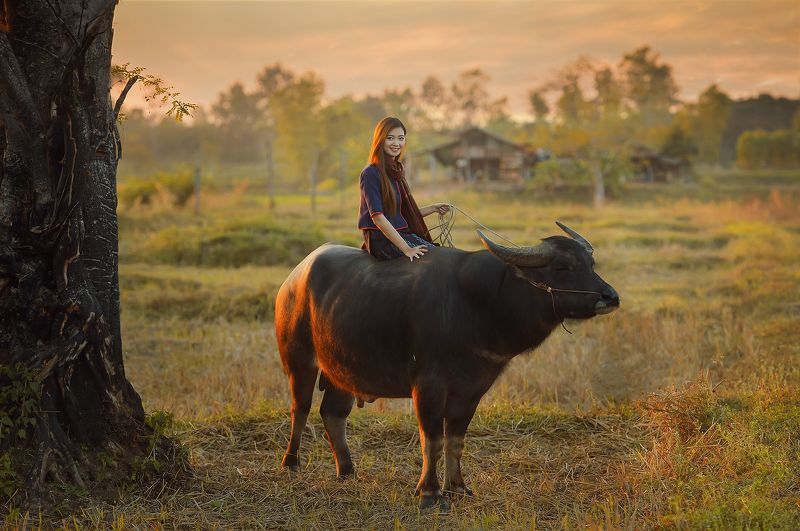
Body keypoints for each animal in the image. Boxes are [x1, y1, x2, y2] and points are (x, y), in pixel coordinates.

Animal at [276, 222, 619, 511]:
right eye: (563, 267)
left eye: (590, 264)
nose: (610, 297)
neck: (479, 304)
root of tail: (293, 279)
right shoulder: (428, 387)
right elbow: (432, 440)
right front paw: (430, 493)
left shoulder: (471, 391)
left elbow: (455, 441)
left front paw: (458, 487)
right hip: (299, 361)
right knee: (300, 409)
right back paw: (290, 464)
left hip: (342, 372)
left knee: (333, 414)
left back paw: (347, 471)